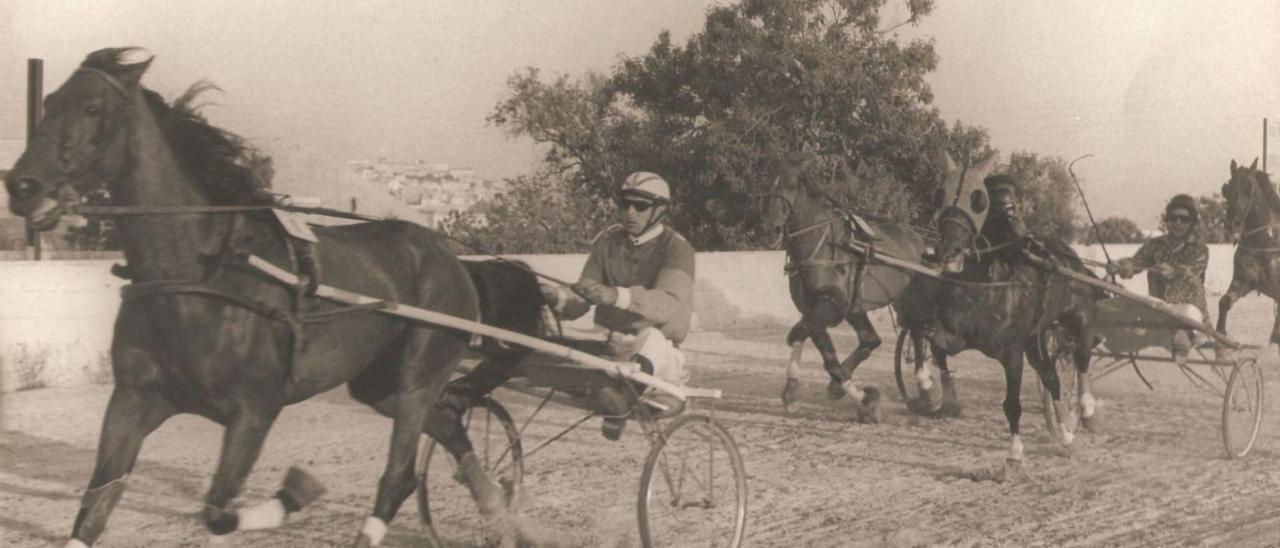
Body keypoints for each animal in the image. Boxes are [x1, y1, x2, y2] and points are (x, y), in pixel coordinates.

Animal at [3, 48, 476, 548]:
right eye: (49, 102)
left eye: (92, 108)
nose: (22, 186)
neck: (198, 280)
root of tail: (446, 254)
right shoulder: (134, 398)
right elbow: (95, 507)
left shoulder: (254, 410)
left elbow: (218, 512)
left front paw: (298, 492)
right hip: (377, 385)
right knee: (450, 430)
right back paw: (500, 511)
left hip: (418, 376)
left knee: (398, 476)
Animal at [1213, 157, 1280, 345]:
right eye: (1227, 188)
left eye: (1249, 187)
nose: (1232, 224)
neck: (1264, 243)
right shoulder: (1243, 282)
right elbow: (1224, 301)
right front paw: (1221, 334)